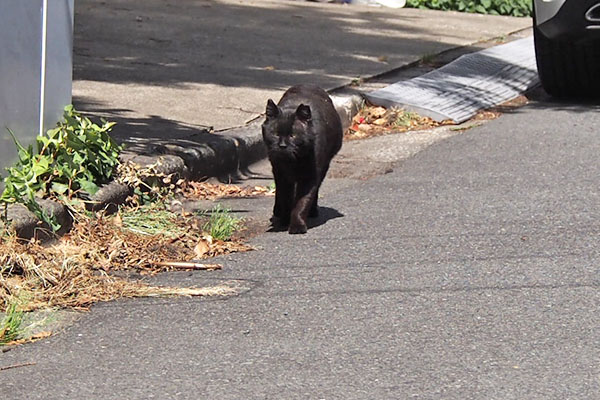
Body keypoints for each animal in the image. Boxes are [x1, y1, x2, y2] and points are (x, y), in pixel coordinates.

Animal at [262, 85, 342, 234]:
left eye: (293, 135)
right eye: (275, 134)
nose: (282, 145)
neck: (292, 162)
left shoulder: (310, 176)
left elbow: (303, 201)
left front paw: (297, 226)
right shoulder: (281, 174)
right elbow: (285, 198)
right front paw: (284, 221)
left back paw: (313, 211)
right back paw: (278, 212)